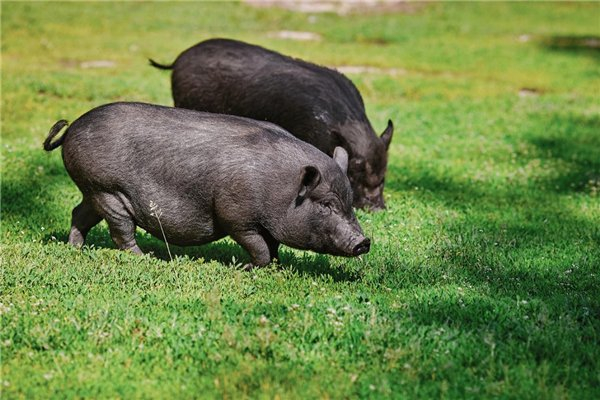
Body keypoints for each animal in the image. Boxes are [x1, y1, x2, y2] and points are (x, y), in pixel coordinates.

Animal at [43, 102, 370, 268]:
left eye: (350, 202)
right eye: (326, 205)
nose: (364, 241)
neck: (282, 189)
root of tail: (71, 128)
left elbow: (273, 244)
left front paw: (277, 265)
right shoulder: (236, 217)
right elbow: (258, 246)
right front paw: (249, 268)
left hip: (94, 190)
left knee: (79, 213)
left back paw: (75, 248)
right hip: (107, 189)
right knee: (121, 231)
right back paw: (147, 258)